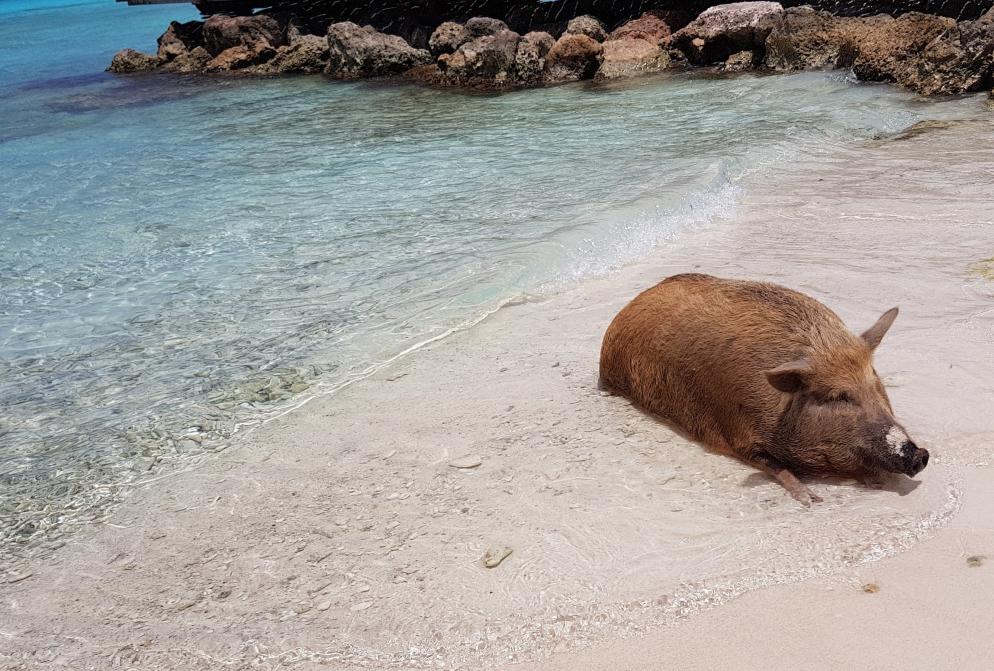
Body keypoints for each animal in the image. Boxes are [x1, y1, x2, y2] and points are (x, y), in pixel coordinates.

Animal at [599, 273, 929, 504]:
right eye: (838, 396)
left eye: (875, 383)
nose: (920, 454)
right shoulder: (734, 433)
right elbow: (775, 466)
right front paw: (812, 500)